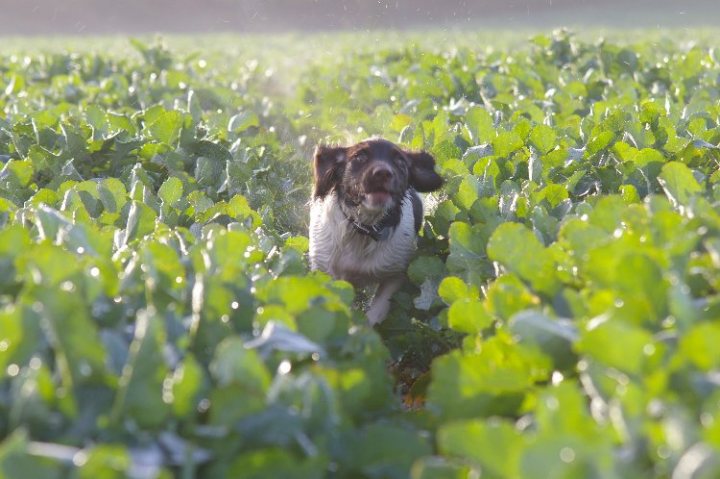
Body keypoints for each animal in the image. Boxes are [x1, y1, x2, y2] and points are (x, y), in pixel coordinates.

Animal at [308, 139, 442, 326]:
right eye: (360, 156)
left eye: (400, 161)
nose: (383, 173)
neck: (364, 230)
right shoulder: (324, 269)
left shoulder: (396, 273)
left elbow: (376, 312)